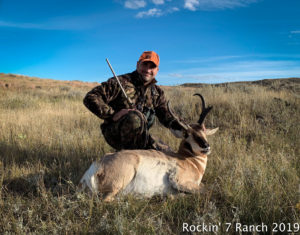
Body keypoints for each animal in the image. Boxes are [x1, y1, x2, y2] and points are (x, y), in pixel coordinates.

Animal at [78, 92, 217, 201]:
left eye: (204, 131)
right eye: (187, 134)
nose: (206, 146)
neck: (188, 159)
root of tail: (97, 165)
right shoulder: (179, 180)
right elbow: (207, 189)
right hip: (120, 182)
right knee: (107, 199)